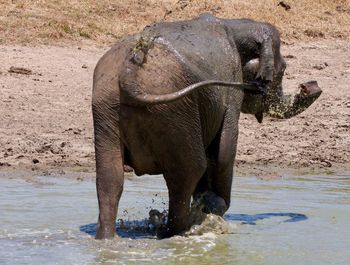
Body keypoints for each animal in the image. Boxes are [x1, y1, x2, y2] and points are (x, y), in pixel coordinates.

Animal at [91, 14, 322, 238]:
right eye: (283, 70)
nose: (310, 85)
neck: (235, 26)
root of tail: (130, 70)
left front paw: (206, 206)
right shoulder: (232, 84)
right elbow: (225, 150)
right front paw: (214, 206)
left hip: (108, 107)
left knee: (110, 179)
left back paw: (111, 237)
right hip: (174, 110)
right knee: (188, 171)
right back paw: (178, 231)